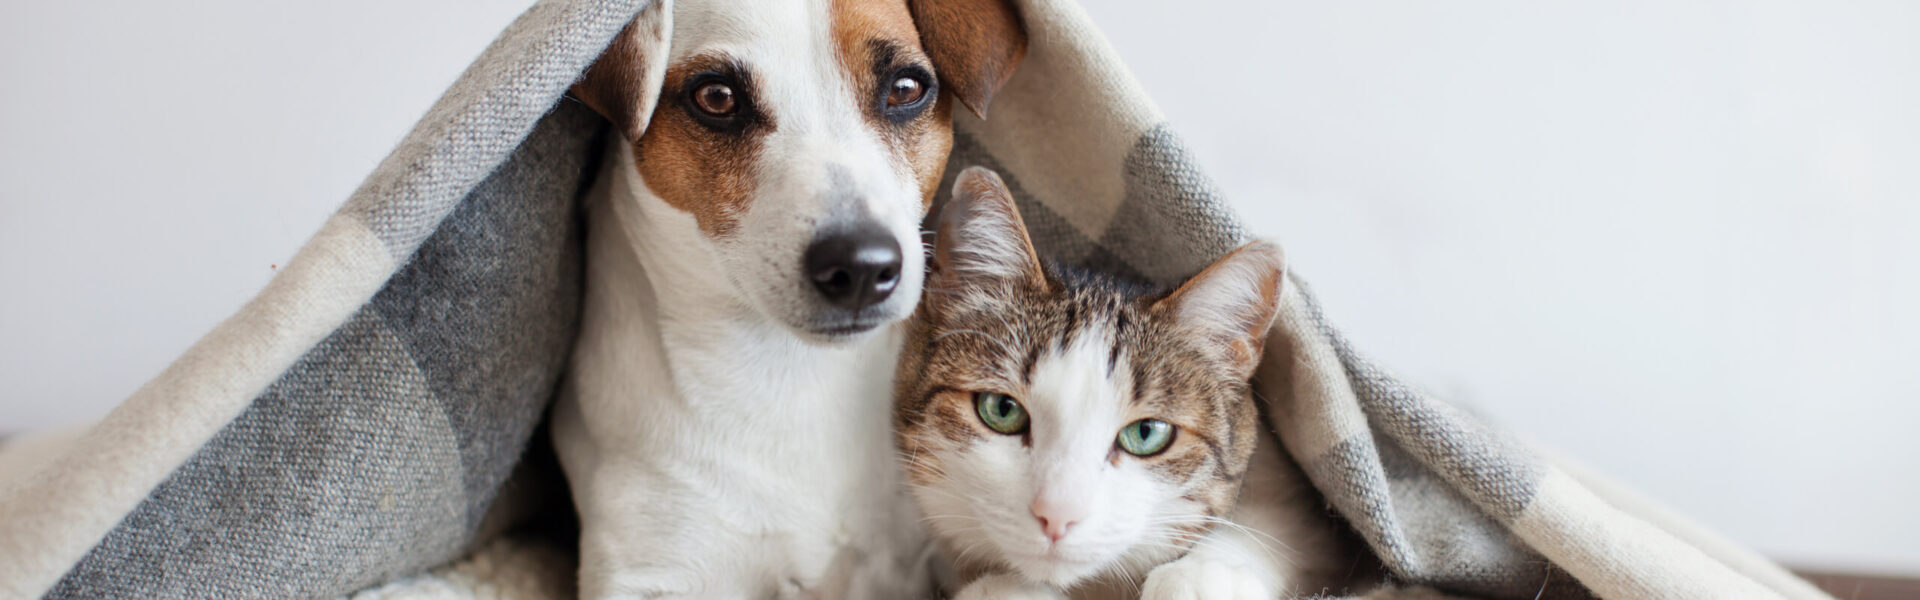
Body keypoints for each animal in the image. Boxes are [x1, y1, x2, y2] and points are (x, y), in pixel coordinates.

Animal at [894, 167, 1351, 600]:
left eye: (1147, 433)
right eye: (1001, 410)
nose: (1057, 515)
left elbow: (1282, 524)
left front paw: (1203, 576)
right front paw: (1003, 589)